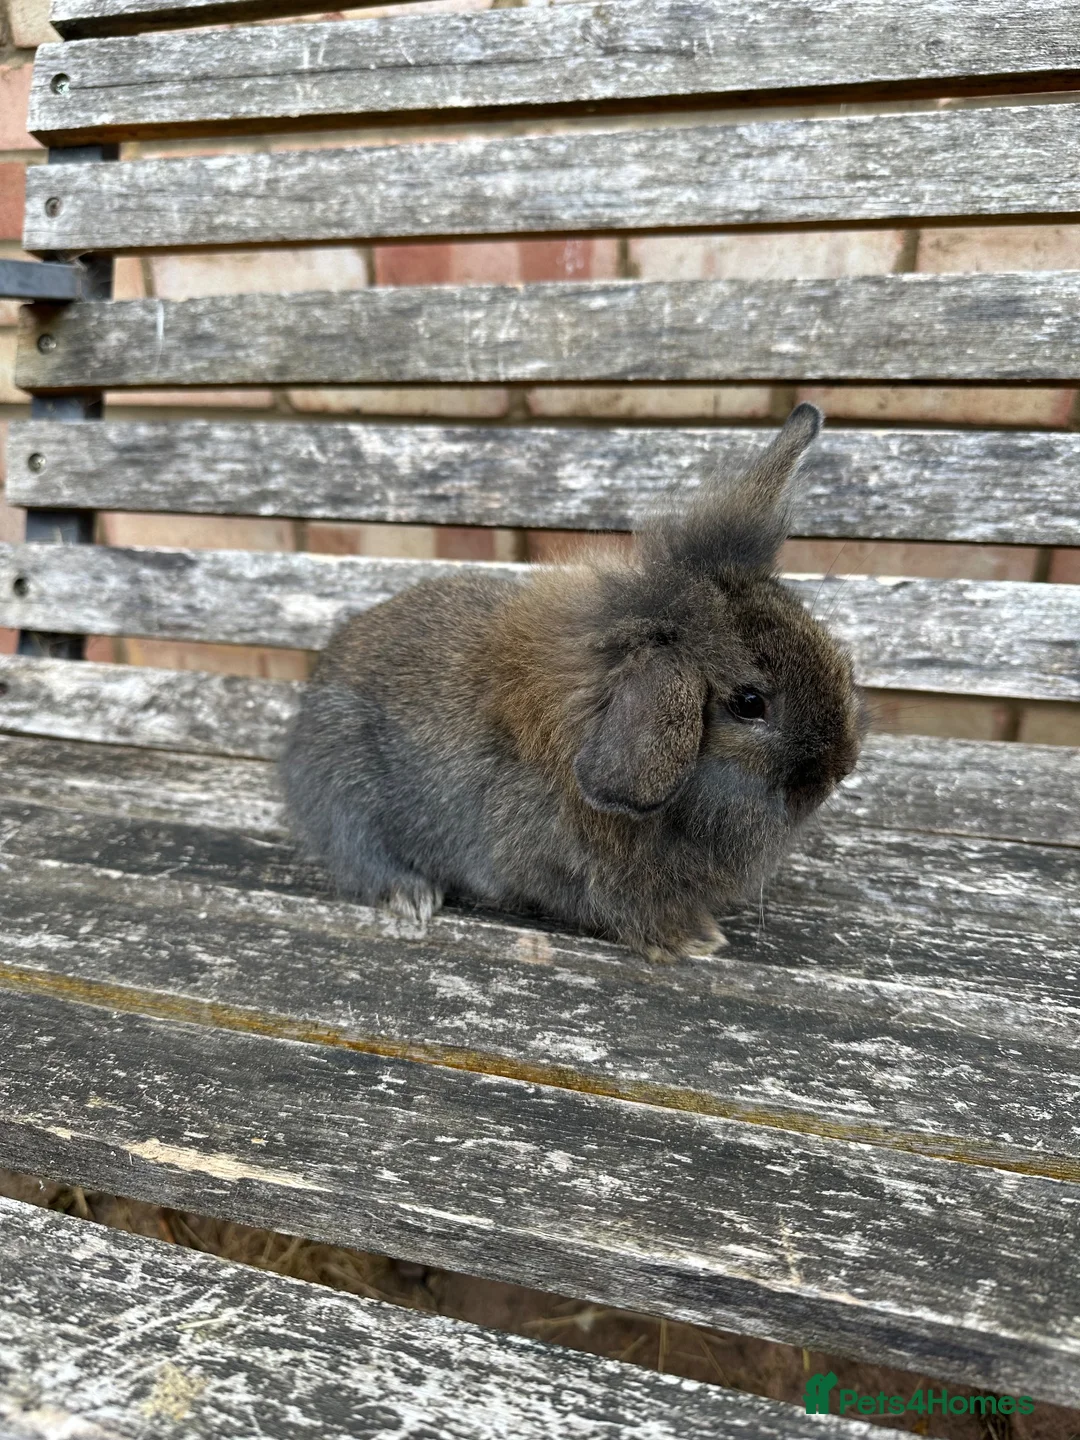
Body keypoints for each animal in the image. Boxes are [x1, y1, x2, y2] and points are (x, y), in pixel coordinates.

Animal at [281, 403, 866, 960]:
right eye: (749, 703)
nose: (837, 772)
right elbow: (610, 905)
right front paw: (690, 938)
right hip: (344, 792)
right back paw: (411, 896)